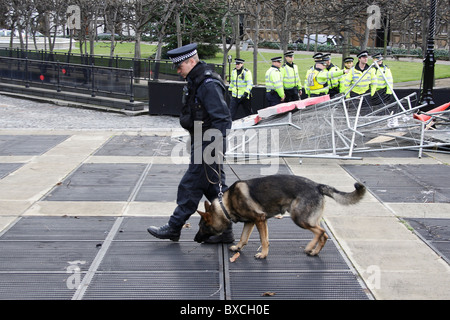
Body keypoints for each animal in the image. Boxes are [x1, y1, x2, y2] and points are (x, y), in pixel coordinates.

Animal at [194, 175, 366, 260]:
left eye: (202, 227)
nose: (195, 239)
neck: (226, 204)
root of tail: (317, 185)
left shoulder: (259, 219)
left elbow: (263, 240)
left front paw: (263, 254)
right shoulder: (251, 222)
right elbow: (244, 238)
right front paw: (237, 248)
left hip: (299, 218)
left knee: (320, 232)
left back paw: (310, 247)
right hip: (309, 220)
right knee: (323, 235)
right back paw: (315, 252)